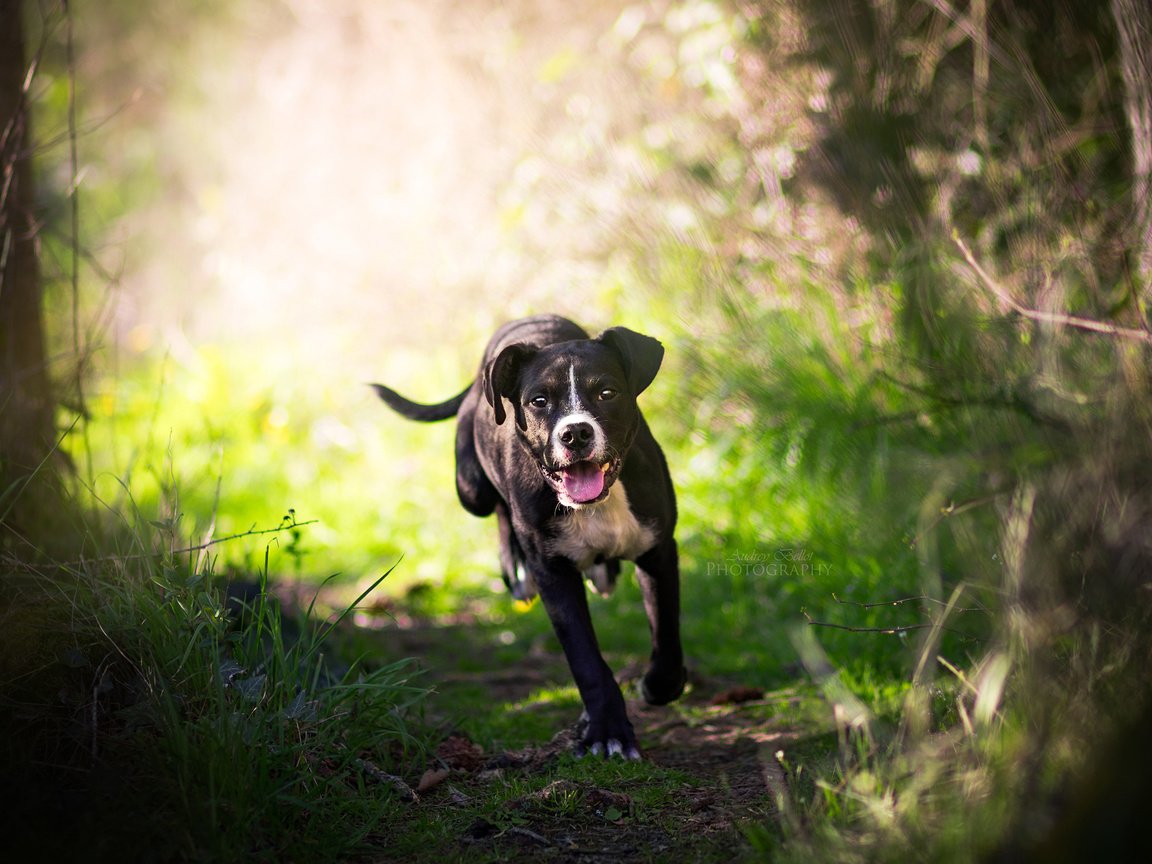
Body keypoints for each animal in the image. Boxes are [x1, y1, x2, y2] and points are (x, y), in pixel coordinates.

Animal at [375, 315, 681, 755]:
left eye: (606, 392)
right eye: (539, 401)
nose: (575, 433)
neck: (595, 503)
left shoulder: (658, 550)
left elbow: (667, 631)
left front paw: (657, 687)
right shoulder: (552, 573)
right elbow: (586, 659)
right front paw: (607, 730)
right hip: (471, 489)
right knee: (498, 510)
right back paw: (516, 569)